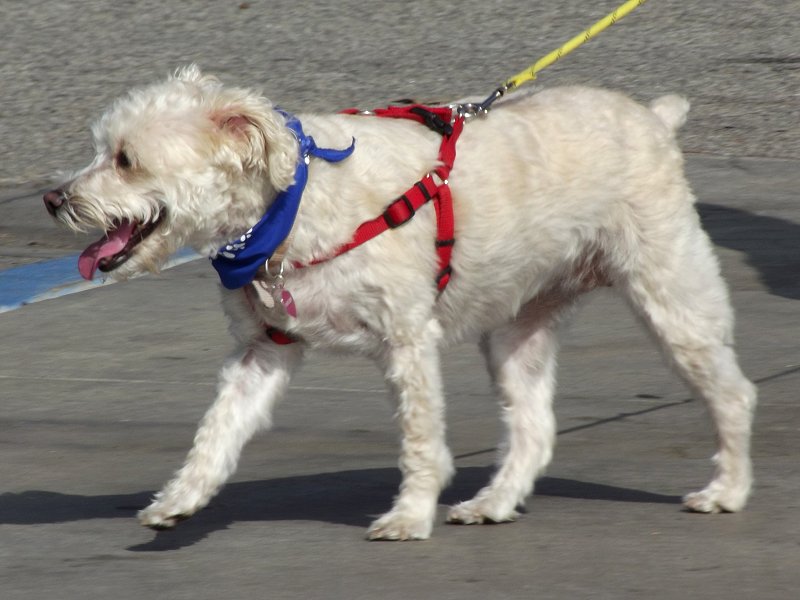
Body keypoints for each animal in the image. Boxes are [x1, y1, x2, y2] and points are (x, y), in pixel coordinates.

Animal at [44, 65, 756, 540]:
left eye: (126, 160)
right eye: (103, 149)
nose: (54, 199)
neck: (293, 203)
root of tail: (654, 118)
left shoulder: (408, 341)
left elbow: (420, 438)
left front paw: (410, 515)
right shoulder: (264, 352)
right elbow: (217, 429)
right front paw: (180, 497)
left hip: (672, 296)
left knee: (733, 393)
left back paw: (727, 489)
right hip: (516, 332)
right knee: (534, 428)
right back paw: (493, 503)